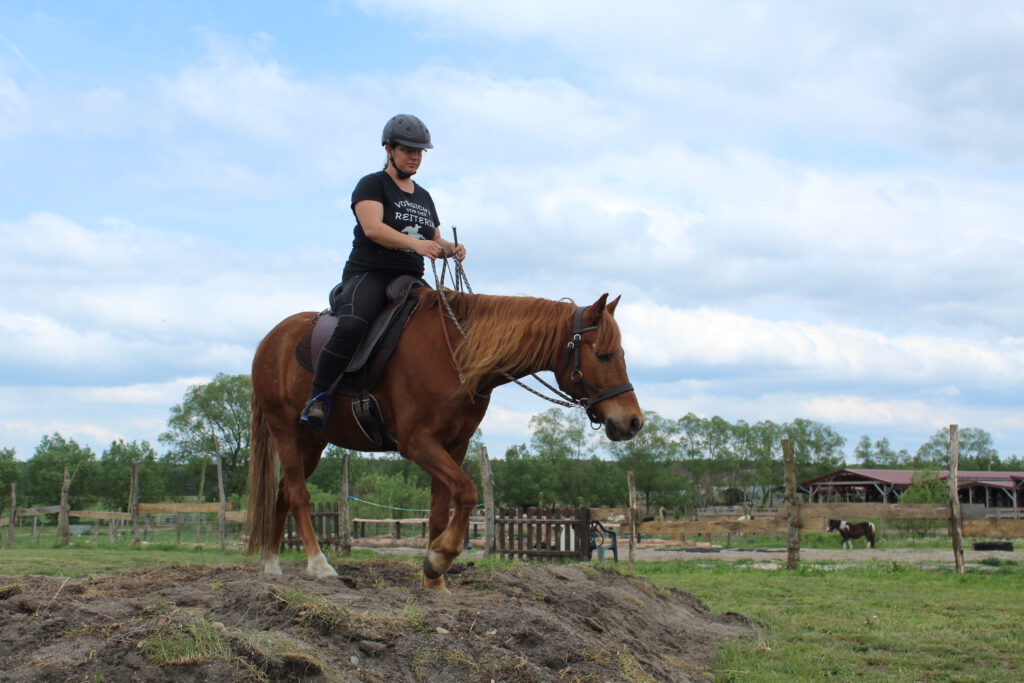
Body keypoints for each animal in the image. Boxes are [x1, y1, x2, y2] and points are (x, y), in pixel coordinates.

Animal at [244, 286, 643, 589]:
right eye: (604, 355)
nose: (633, 422)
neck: (459, 357)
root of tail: (270, 340)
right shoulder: (417, 443)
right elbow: (466, 492)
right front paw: (439, 559)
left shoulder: (453, 445)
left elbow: (439, 511)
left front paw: (433, 578)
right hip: (285, 428)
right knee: (299, 495)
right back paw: (318, 563)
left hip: (312, 441)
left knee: (283, 493)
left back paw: (271, 564)